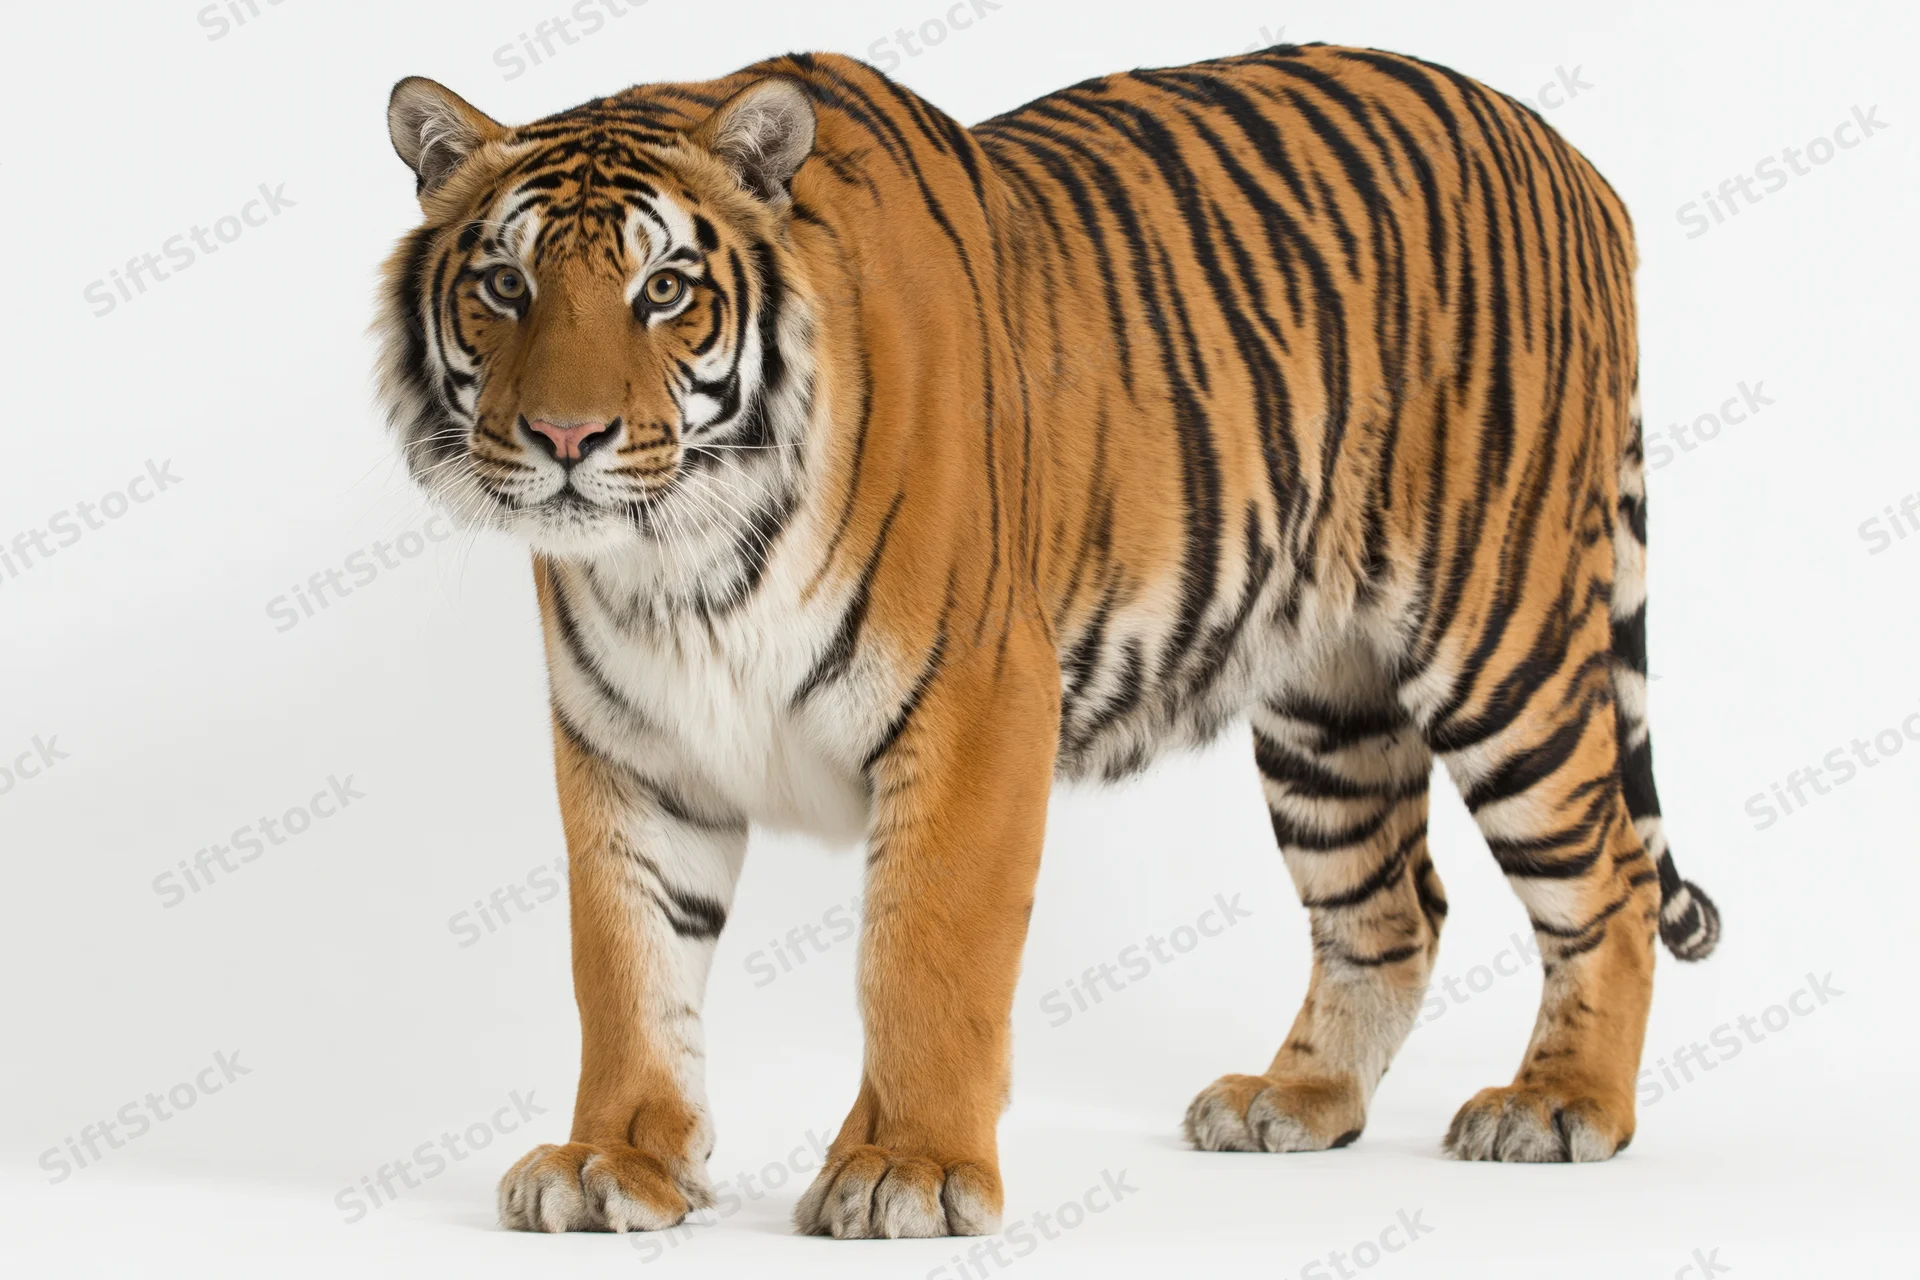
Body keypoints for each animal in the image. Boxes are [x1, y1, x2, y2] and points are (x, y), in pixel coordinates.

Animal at [376, 41, 1722, 1240]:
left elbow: (925, 952)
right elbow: (627, 964)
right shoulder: (628, 745)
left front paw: (908, 1171)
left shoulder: (973, 702)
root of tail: (1571, 160)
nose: (565, 438)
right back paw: (1296, 1099)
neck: (681, 559)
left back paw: (1560, 1104)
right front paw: (614, 1159)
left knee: (1607, 872)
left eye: (663, 289)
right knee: (1390, 906)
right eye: (504, 286)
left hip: (1503, 641)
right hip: (1326, 704)